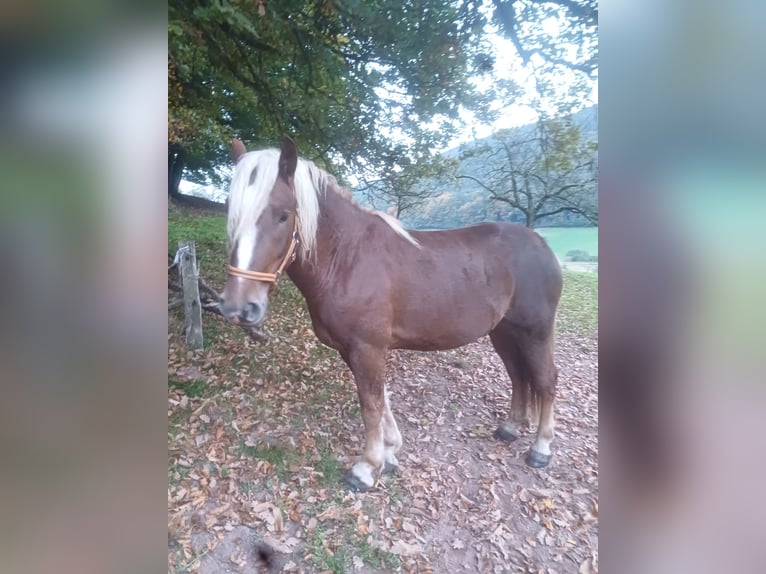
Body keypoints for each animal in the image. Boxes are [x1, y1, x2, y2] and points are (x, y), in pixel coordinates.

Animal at [220, 136, 563, 491]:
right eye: (233, 212)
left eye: (283, 215)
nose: (238, 306)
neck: (348, 258)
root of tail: (541, 244)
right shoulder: (353, 350)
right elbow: (381, 399)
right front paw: (389, 453)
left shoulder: (367, 348)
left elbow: (370, 404)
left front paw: (366, 468)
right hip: (504, 332)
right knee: (518, 376)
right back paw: (510, 428)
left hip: (536, 332)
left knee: (545, 380)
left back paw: (541, 449)